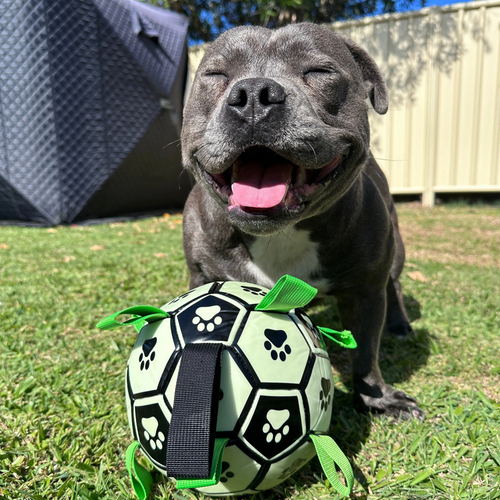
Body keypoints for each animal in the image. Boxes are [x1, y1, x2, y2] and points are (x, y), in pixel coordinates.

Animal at [180, 24, 422, 422]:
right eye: (215, 76)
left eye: (319, 72)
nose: (253, 94)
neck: (282, 234)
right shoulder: (202, 275)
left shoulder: (366, 291)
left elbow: (366, 352)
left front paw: (378, 398)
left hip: (397, 249)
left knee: (395, 284)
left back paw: (400, 324)